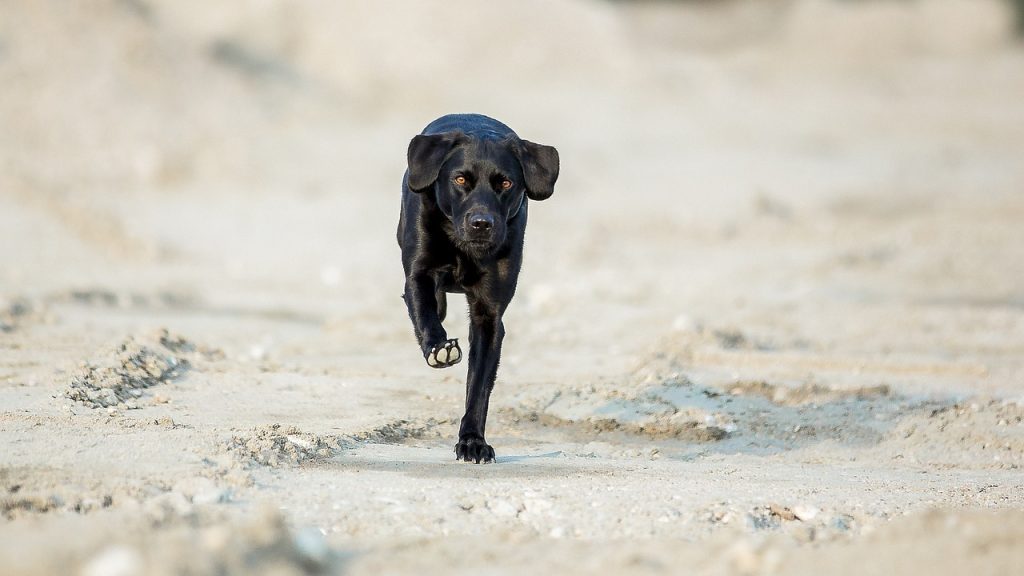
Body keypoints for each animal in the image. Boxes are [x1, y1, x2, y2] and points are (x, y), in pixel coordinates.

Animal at [397, 113, 561, 461]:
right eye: (460, 180)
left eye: (506, 184)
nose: (482, 224)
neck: (464, 249)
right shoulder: (418, 273)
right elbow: (424, 310)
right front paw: (439, 348)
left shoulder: (489, 316)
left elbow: (479, 387)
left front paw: (473, 441)